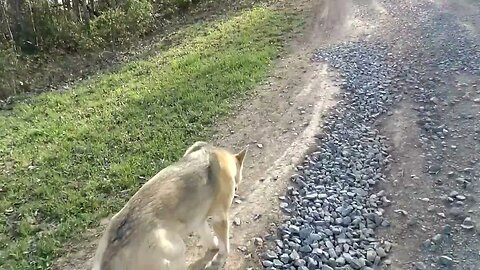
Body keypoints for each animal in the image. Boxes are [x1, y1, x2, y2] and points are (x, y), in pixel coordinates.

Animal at [91, 141, 248, 270]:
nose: (237, 188)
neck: (213, 153)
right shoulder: (219, 217)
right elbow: (224, 246)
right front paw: (219, 258)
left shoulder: (197, 218)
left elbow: (207, 234)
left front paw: (213, 246)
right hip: (176, 248)